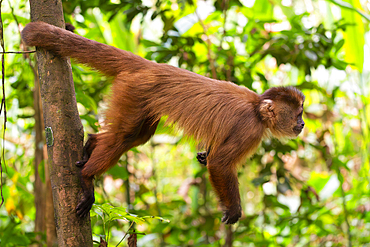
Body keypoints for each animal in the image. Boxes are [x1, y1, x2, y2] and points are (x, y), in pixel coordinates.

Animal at [21, 22, 304, 225]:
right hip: (133, 90)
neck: (257, 107)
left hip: (141, 98)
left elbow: (211, 156)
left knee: (137, 136)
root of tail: (151, 66)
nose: (302, 125)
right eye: (298, 114)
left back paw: (91, 144)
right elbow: (220, 163)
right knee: (124, 137)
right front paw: (233, 210)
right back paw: (87, 177)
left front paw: (203, 156)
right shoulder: (250, 129)